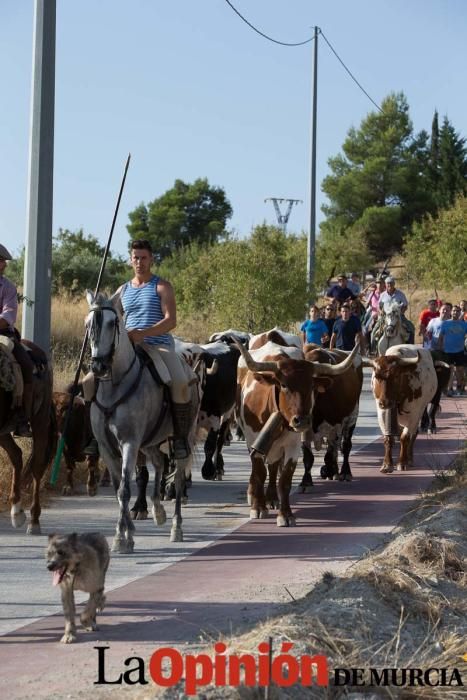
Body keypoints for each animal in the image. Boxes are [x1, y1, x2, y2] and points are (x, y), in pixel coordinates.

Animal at [86, 290, 199, 552]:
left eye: (112, 323)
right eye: (88, 325)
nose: (98, 366)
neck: (115, 385)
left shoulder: (129, 442)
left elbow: (125, 488)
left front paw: (120, 537)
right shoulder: (107, 447)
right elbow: (119, 488)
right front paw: (128, 533)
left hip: (182, 436)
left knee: (179, 478)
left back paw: (176, 527)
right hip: (149, 442)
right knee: (158, 463)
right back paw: (157, 511)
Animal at [238, 338, 358, 524]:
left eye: (311, 386)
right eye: (284, 385)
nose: (301, 420)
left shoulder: (293, 445)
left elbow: (285, 479)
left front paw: (286, 515)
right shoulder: (253, 441)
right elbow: (260, 473)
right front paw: (258, 508)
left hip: (350, 418)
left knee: (345, 446)